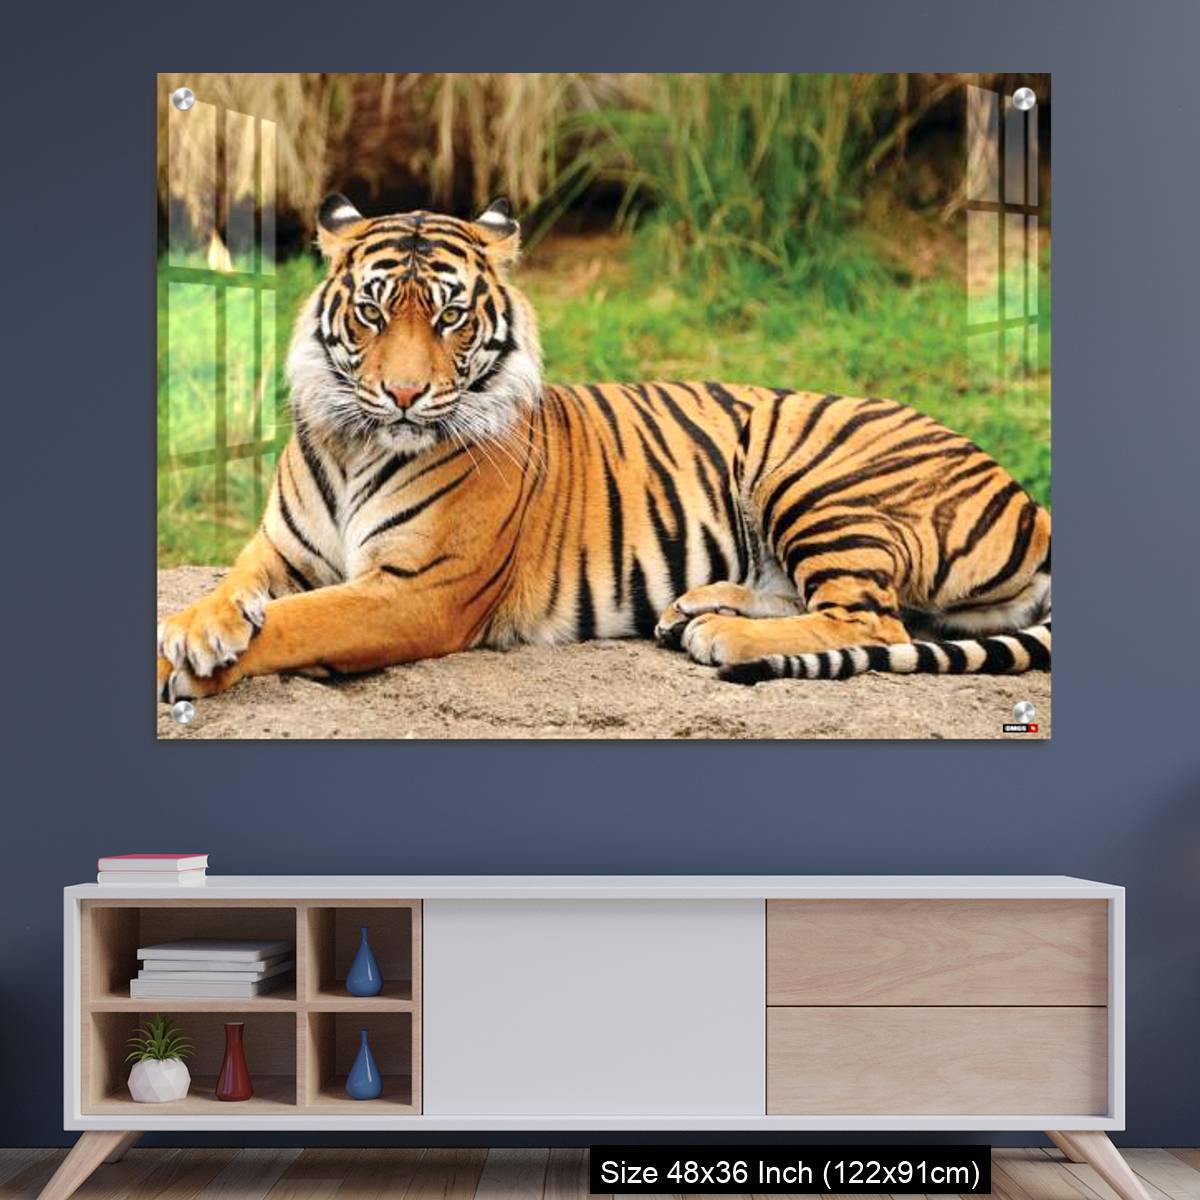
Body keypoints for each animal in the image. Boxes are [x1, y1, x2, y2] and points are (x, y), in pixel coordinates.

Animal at [157, 194, 1051, 703]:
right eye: (373, 312)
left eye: (450, 316)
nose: (405, 395)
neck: (354, 444)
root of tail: (1032, 505)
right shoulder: (279, 549)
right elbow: (236, 589)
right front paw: (197, 627)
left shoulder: (416, 589)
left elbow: (298, 622)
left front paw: (188, 663)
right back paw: (696, 607)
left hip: (816, 479)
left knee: (871, 617)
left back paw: (723, 635)